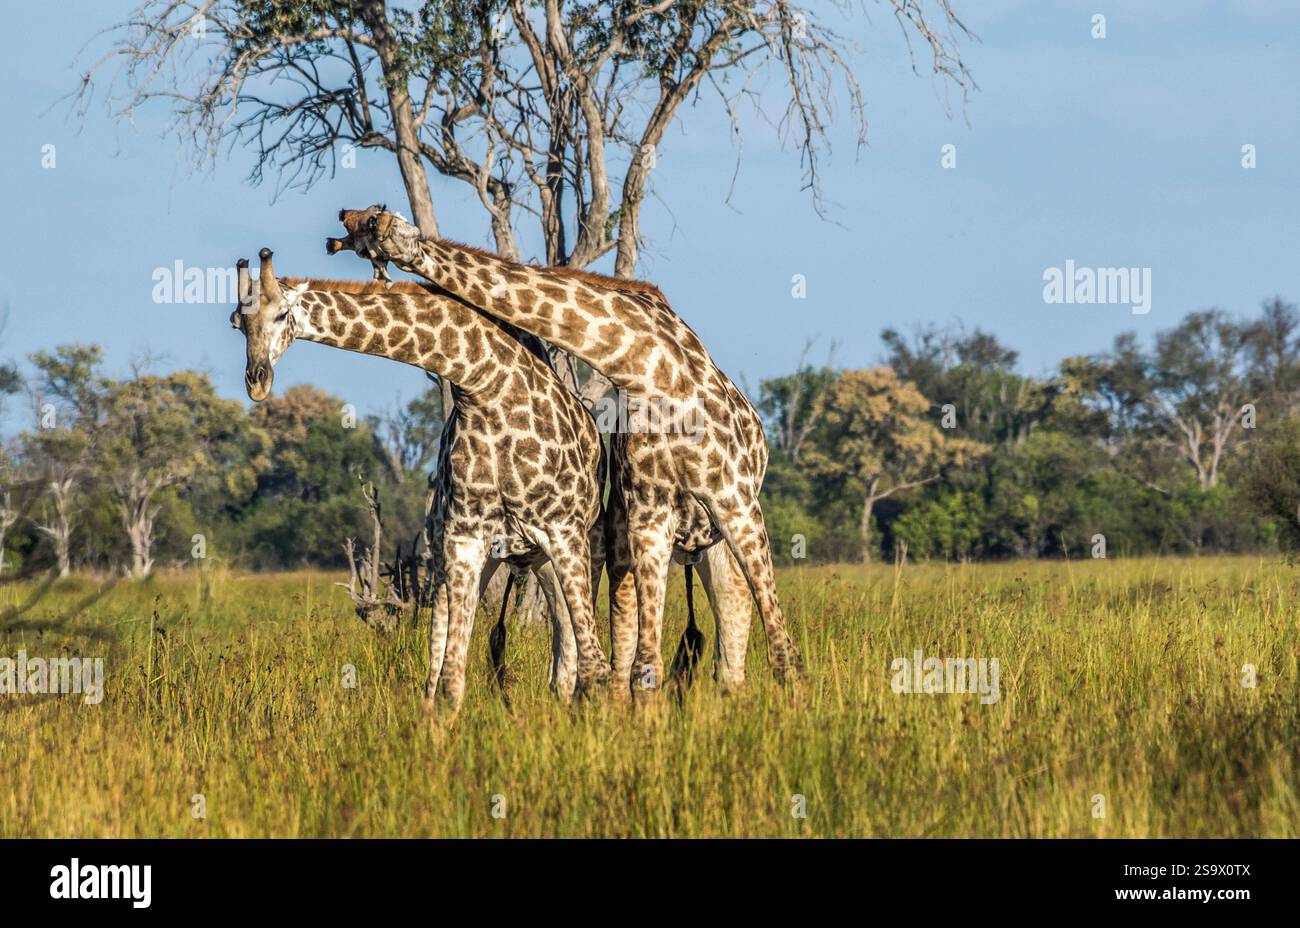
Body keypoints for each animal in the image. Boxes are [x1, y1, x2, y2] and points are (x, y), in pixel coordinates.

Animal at [229, 248, 611, 715]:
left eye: (283, 313)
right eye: (237, 321)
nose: (257, 381)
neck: (484, 389)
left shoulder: (563, 534)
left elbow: (593, 663)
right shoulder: (466, 540)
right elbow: (451, 677)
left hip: (577, 546)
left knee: (576, 647)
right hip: (495, 557)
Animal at [332, 206, 803, 698]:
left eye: (373, 224)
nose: (343, 219)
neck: (647, 367)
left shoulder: (736, 501)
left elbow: (783, 649)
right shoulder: (648, 517)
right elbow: (644, 663)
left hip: (716, 531)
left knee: (736, 627)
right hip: (628, 542)